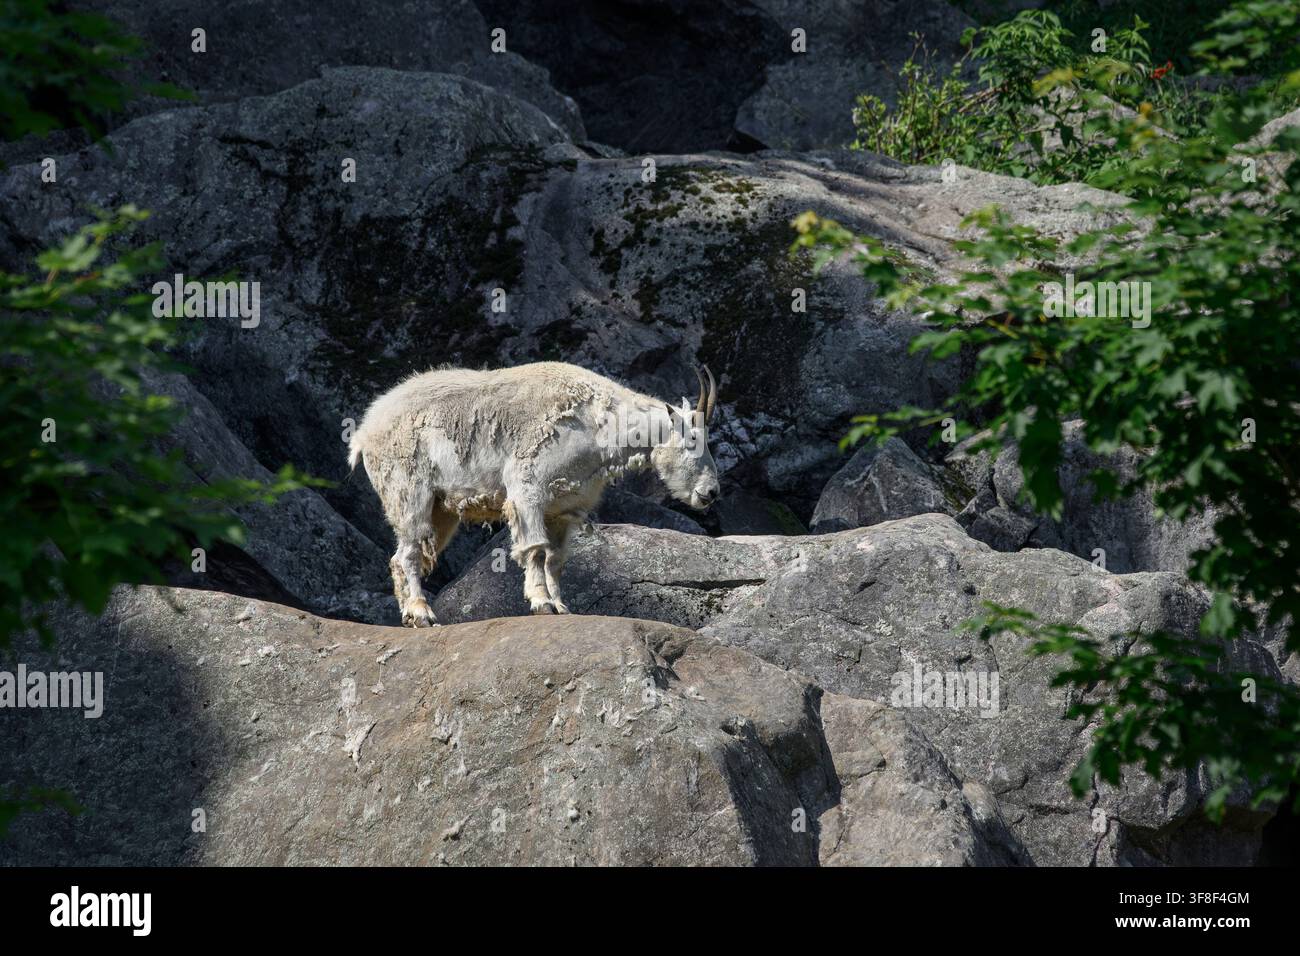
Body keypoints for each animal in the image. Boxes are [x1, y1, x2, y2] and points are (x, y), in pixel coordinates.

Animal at [349, 361, 720, 625]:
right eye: (691, 440)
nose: (711, 492)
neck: (597, 424)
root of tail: (365, 431)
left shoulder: (562, 508)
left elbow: (556, 559)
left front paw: (562, 605)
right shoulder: (528, 490)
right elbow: (536, 550)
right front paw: (542, 604)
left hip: (442, 508)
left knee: (402, 556)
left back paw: (410, 616)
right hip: (408, 492)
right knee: (409, 553)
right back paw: (421, 613)